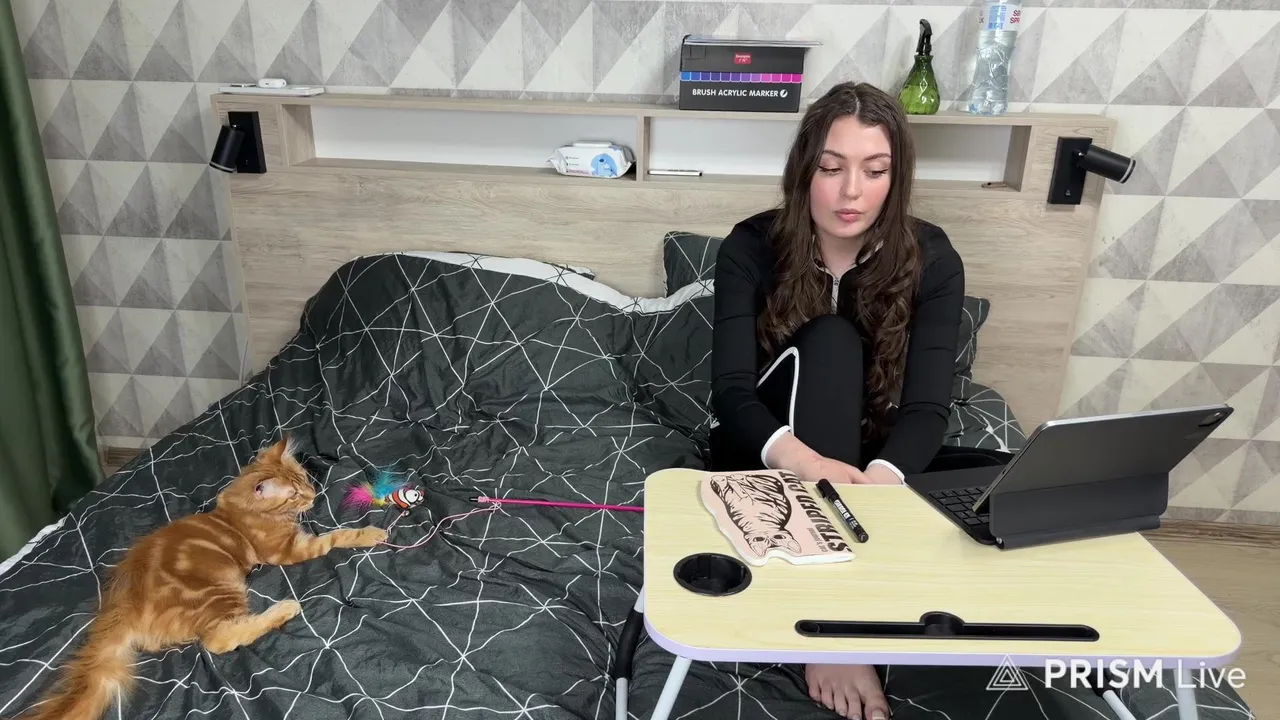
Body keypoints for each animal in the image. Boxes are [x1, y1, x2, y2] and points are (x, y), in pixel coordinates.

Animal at [15, 436, 388, 720]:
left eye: (306, 481)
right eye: (294, 494)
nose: (314, 496)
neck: (238, 510)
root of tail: (121, 605)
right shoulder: (289, 550)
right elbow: (337, 537)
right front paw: (370, 533)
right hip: (221, 591)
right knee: (220, 640)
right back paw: (284, 608)